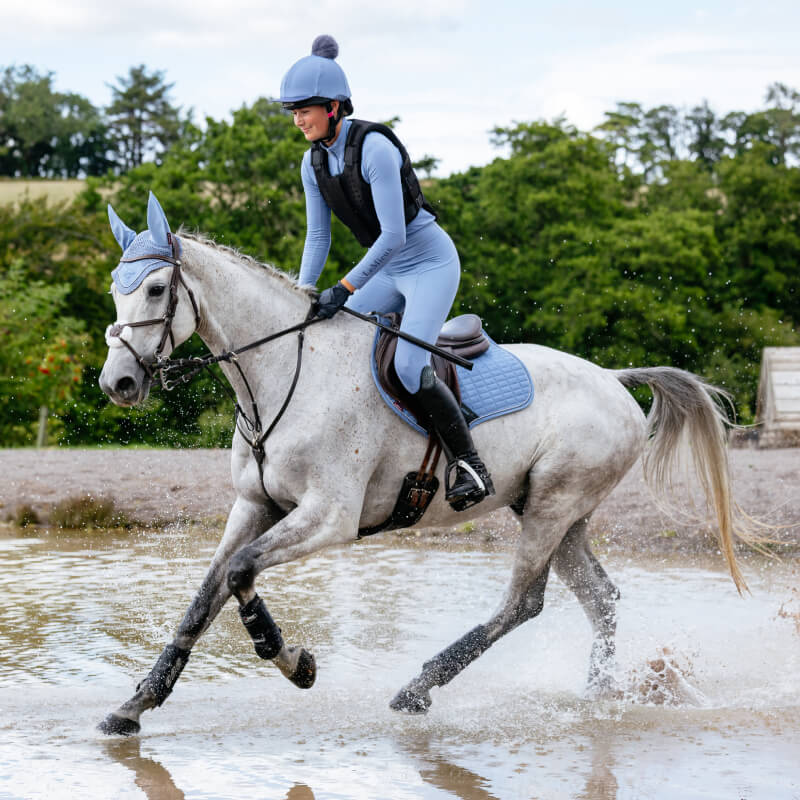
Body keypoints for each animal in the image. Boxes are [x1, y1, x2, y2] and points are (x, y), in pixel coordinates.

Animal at [97, 193, 751, 735]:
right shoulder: (255, 505)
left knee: (522, 604)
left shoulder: (328, 517)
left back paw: (418, 689)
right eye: (115, 288)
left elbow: (240, 575)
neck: (283, 370)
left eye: (155, 289)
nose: (117, 383)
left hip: (554, 504)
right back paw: (597, 698)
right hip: (558, 513)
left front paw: (292, 660)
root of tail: (612, 379)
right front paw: (135, 705)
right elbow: (205, 597)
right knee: (602, 598)